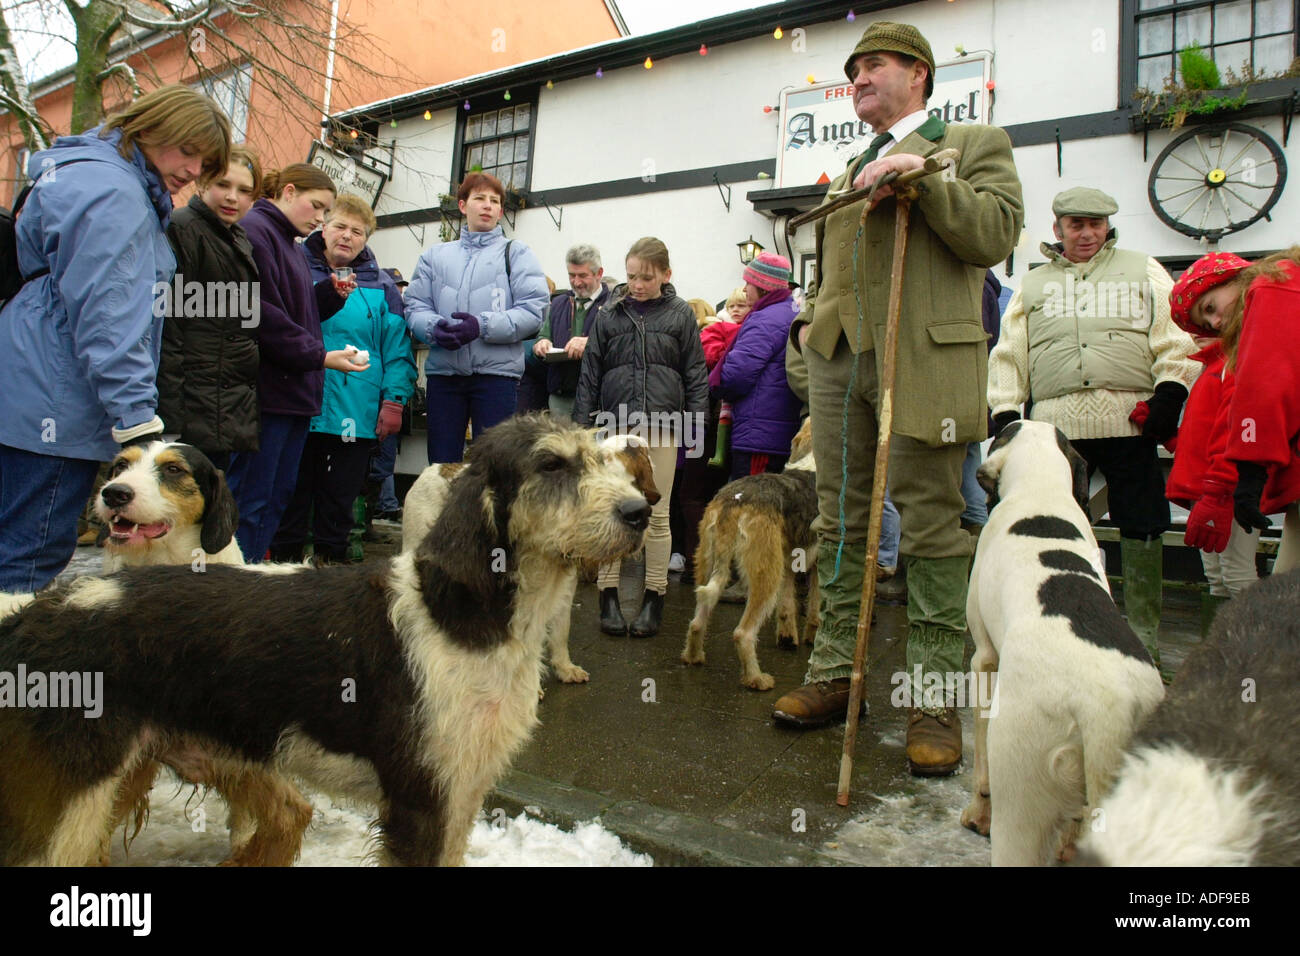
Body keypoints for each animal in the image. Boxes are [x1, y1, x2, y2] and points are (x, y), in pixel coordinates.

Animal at [0, 413, 650, 868]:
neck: (468, 613)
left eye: (601, 459)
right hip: (67, 804)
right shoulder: (419, 801)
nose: (642, 511)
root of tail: (39, 612)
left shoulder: (460, 794)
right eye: (552, 466)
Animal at [961, 418, 1164, 868]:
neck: (1041, 489)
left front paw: (977, 814)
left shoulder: (985, 660)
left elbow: (981, 768)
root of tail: (1106, 713)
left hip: (1022, 796)